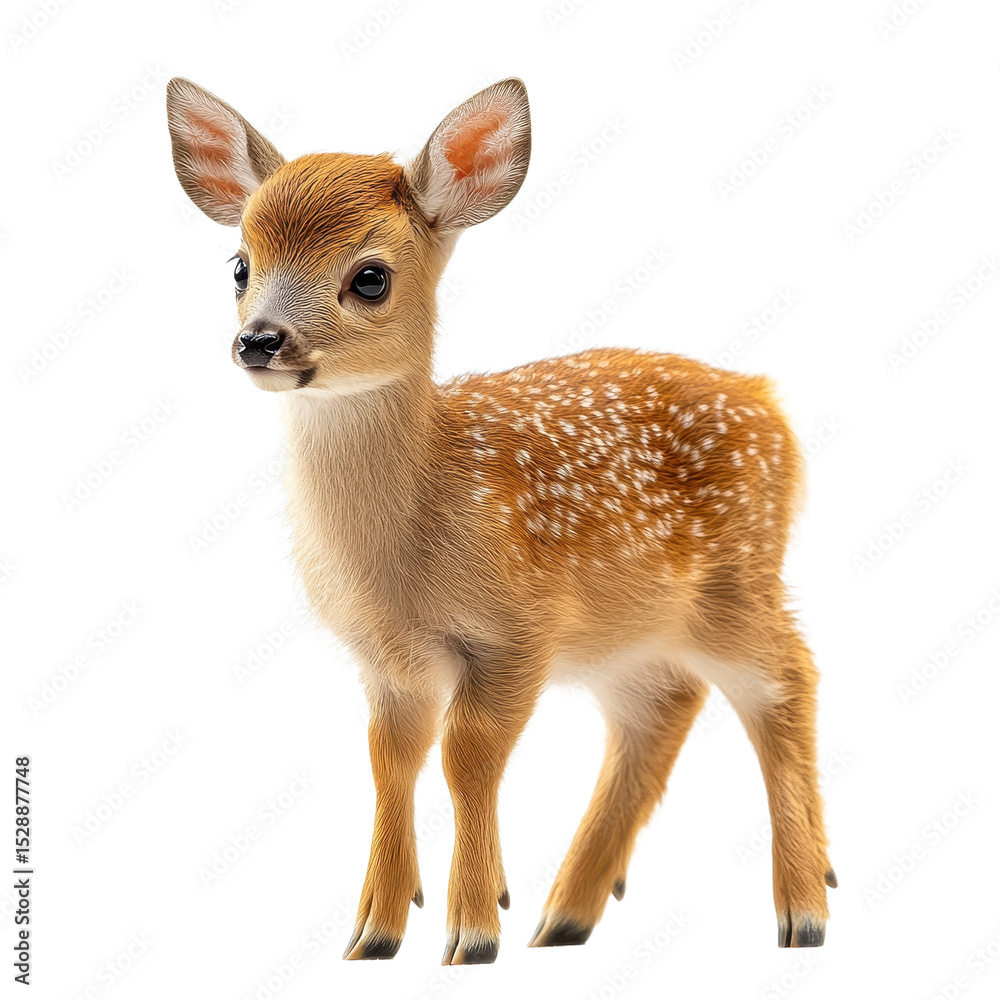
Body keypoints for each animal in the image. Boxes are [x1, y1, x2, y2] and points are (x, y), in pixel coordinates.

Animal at [166, 76, 836, 965]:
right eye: (240, 265)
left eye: (370, 277)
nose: (259, 341)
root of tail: (770, 404)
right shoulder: (388, 657)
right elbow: (391, 760)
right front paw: (374, 934)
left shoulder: (520, 627)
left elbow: (467, 757)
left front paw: (473, 931)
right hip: (631, 629)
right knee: (662, 710)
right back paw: (566, 917)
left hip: (737, 577)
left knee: (785, 680)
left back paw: (804, 909)